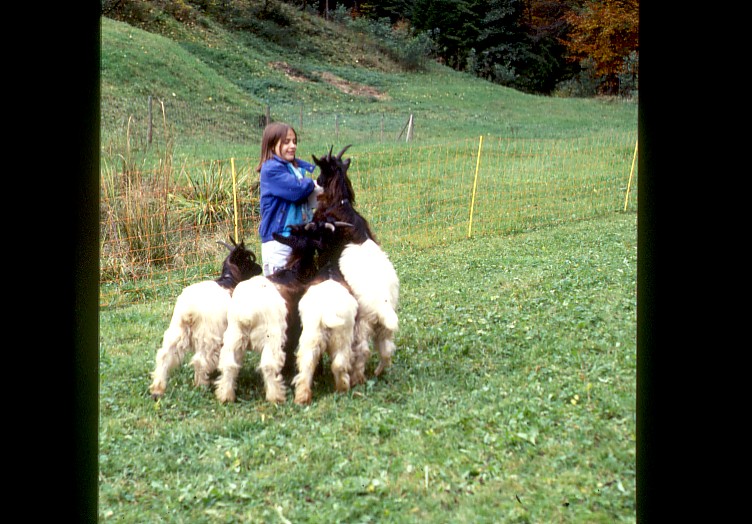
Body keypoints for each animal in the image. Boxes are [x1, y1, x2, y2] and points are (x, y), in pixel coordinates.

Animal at [148, 238, 262, 399]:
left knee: (165, 356)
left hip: (177, 330)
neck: (230, 280)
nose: (259, 268)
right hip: (208, 335)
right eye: (247, 259)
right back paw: (201, 385)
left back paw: (158, 389)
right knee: (201, 360)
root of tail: (190, 310)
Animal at [310, 146, 400, 384]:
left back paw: (358, 376)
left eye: (323, 171)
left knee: (363, 349)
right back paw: (377, 372)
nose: (316, 182)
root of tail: (383, 305)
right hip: (383, 328)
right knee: (386, 349)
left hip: (363, 322)